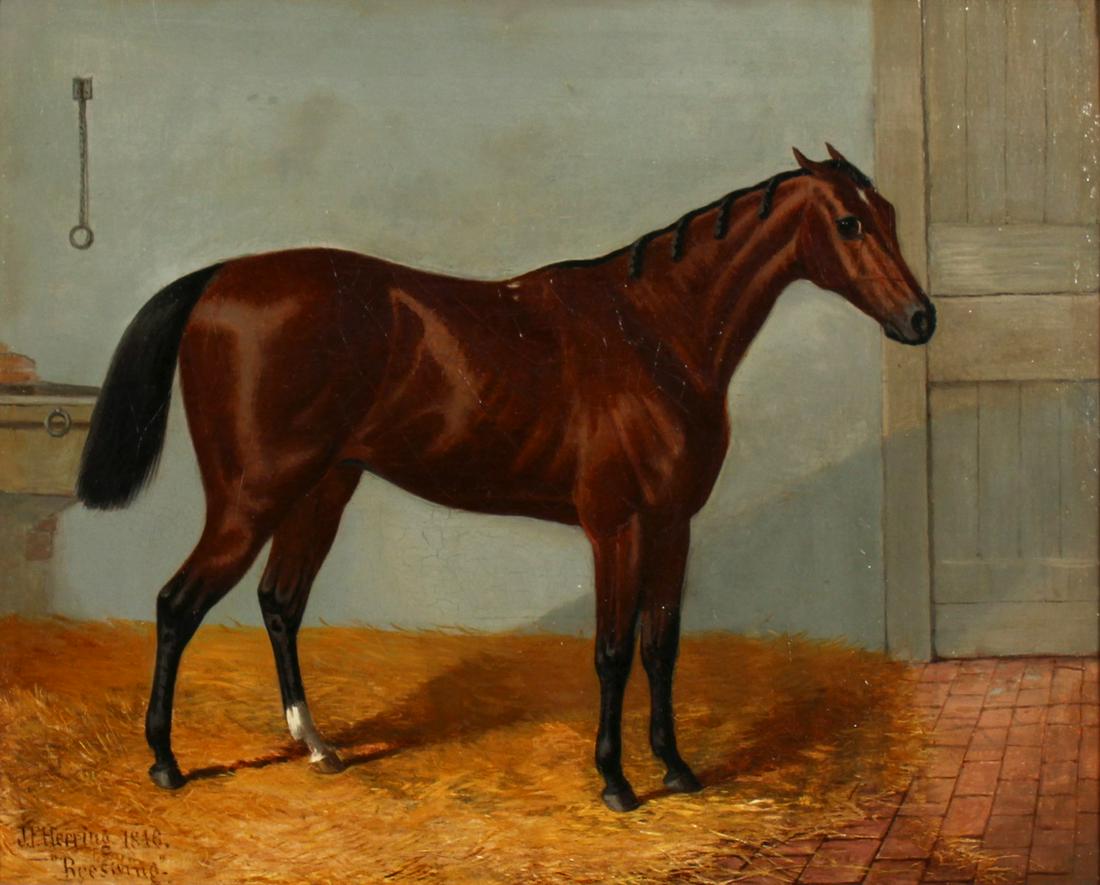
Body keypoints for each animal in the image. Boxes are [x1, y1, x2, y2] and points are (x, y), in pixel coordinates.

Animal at [77, 145, 935, 812]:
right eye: (850, 222)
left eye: (889, 212)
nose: (921, 318)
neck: (651, 330)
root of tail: (220, 278)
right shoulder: (617, 526)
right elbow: (613, 650)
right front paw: (616, 781)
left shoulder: (673, 524)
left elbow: (662, 646)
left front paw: (678, 768)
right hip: (251, 498)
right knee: (178, 604)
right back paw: (166, 762)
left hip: (321, 489)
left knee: (279, 603)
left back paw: (317, 746)